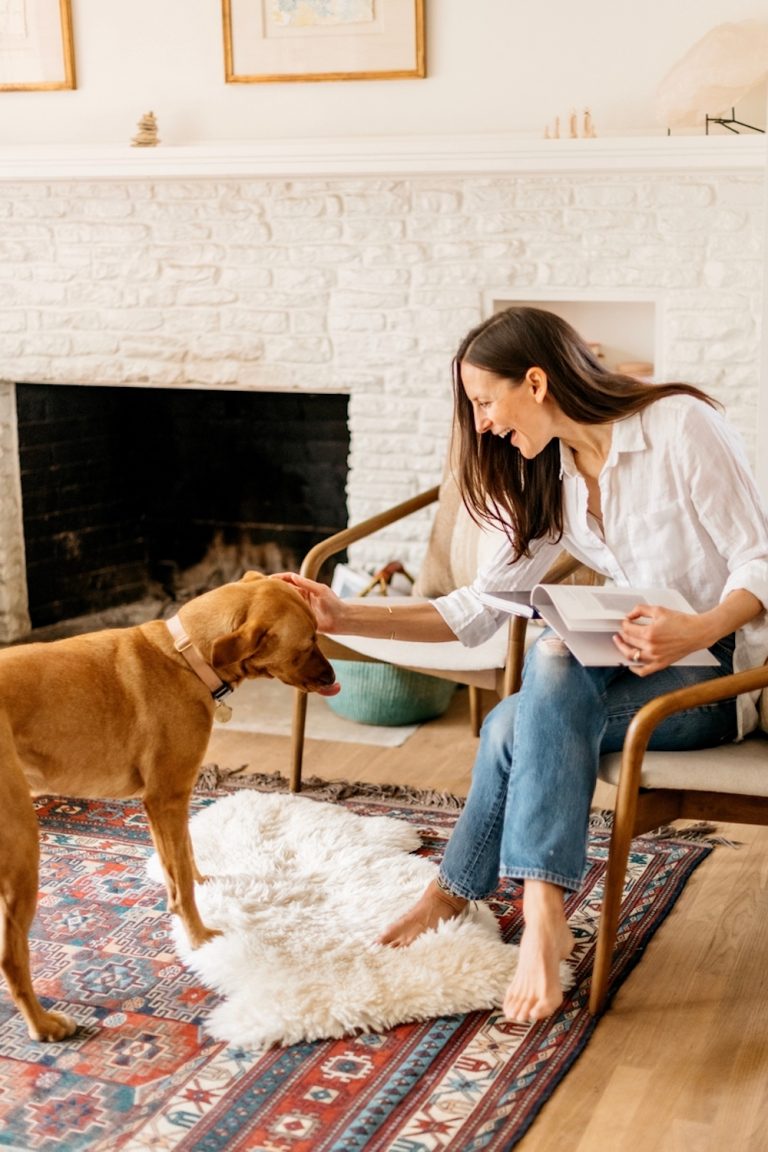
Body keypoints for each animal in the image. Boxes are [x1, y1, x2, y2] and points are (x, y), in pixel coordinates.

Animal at [0, 571, 336, 1041]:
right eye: (308, 643)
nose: (332, 676)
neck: (185, 656)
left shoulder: (170, 802)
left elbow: (183, 856)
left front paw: (202, 883)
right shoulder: (166, 797)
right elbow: (181, 884)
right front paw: (199, 937)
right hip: (21, 852)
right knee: (11, 958)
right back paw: (43, 1024)